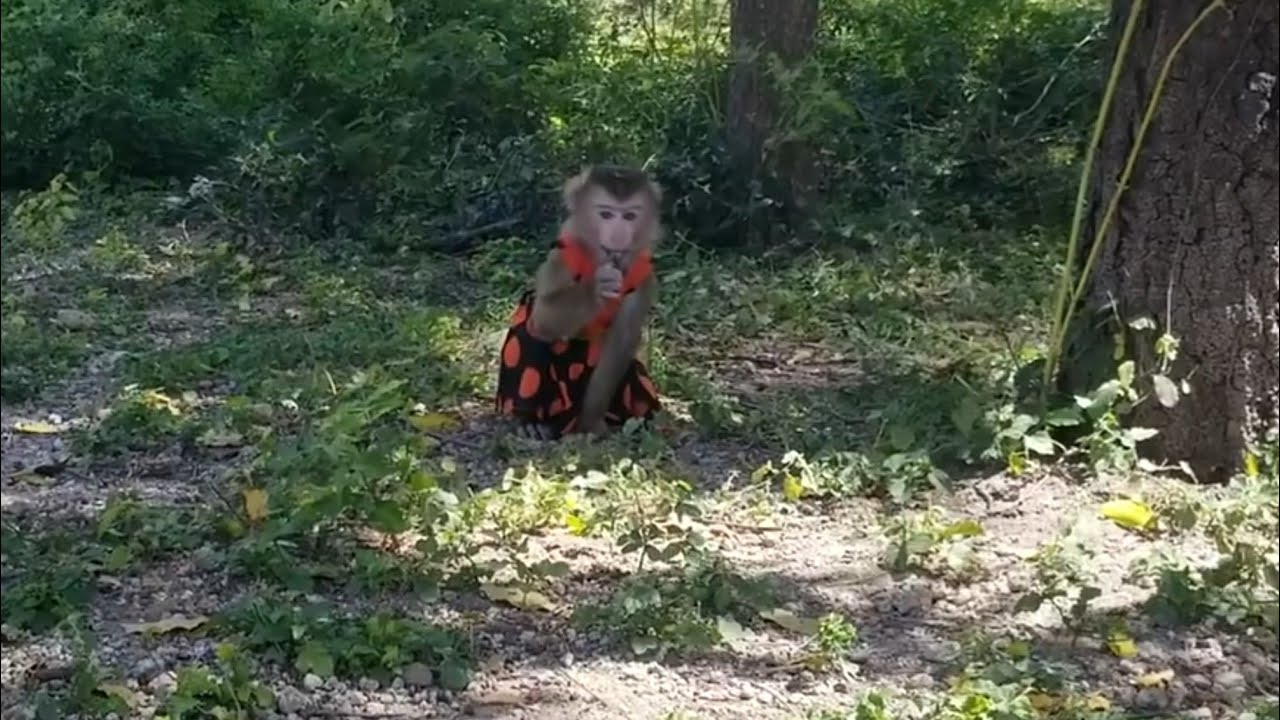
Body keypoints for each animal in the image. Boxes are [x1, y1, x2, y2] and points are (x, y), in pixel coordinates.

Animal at [494, 164, 663, 440]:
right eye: (606, 214)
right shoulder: (564, 257)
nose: (618, 235)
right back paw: (528, 420)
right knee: (529, 326)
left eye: (629, 216)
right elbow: (543, 318)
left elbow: (623, 338)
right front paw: (596, 288)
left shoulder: (644, 275)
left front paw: (590, 422)